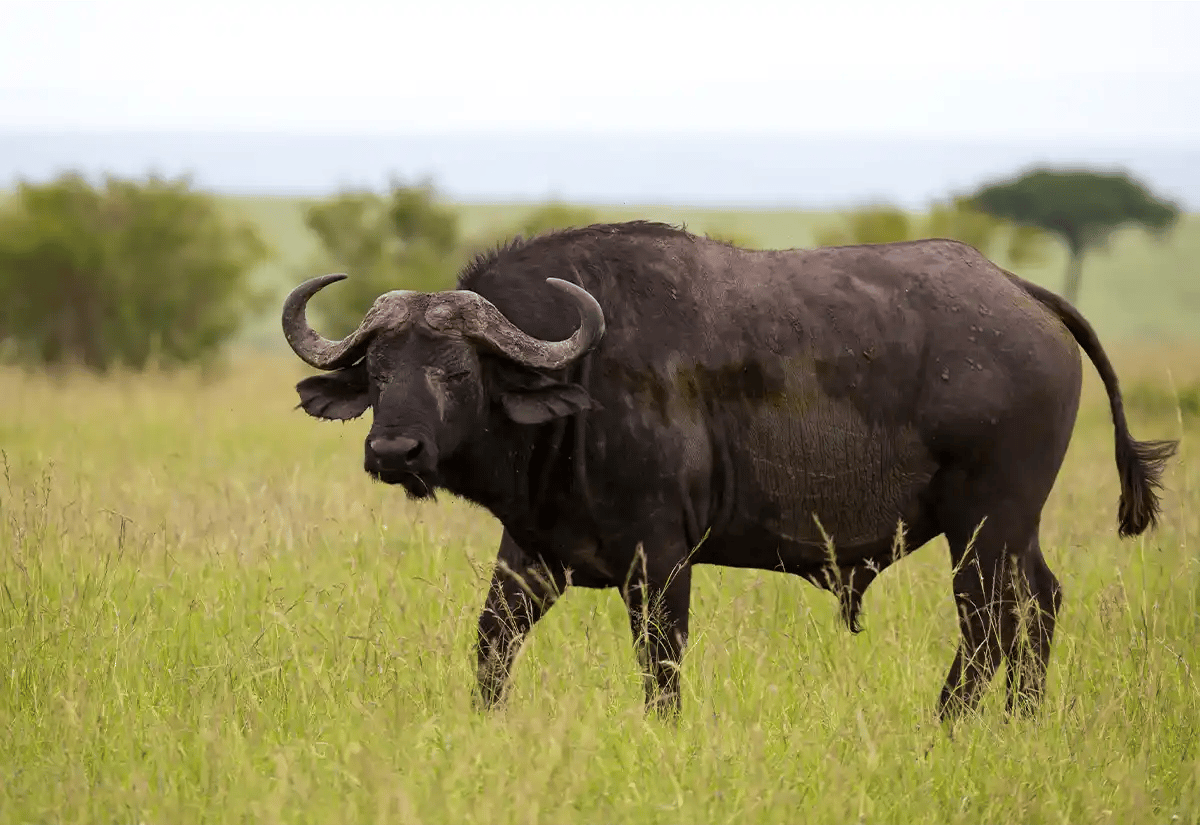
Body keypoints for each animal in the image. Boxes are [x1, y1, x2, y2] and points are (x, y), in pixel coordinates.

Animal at [283, 221, 1176, 720]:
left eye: (457, 370)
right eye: (380, 370)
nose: (393, 452)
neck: (583, 382)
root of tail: (1023, 294)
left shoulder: (660, 561)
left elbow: (662, 667)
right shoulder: (532, 553)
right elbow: (490, 646)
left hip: (985, 524)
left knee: (991, 622)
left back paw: (949, 724)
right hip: (1011, 530)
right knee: (1039, 606)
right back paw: (1021, 722)